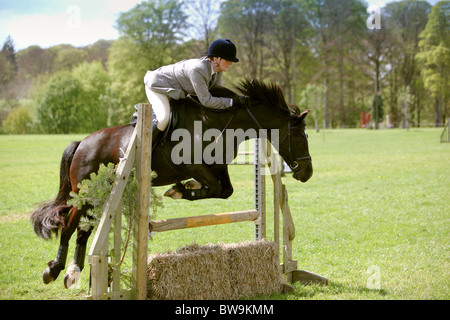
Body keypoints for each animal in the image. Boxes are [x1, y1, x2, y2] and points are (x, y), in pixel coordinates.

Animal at [29, 77, 312, 288]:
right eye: (299, 138)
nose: (307, 173)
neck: (221, 122)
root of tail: (81, 143)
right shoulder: (192, 165)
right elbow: (215, 188)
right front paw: (179, 189)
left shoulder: (217, 167)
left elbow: (224, 191)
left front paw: (187, 188)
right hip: (86, 194)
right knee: (70, 226)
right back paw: (57, 271)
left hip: (101, 196)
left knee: (84, 229)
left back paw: (74, 272)